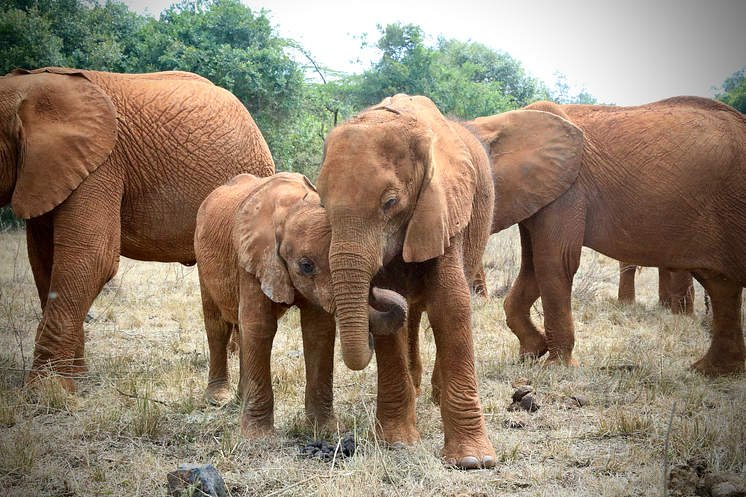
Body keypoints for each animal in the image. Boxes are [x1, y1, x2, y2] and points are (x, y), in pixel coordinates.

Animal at [0, 67, 275, 390]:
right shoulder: (47, 172)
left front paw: (45, 390)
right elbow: (44, 261)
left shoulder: (100, 166)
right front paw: (74, 380)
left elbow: (92, 258)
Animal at [194, 172, 408, 437]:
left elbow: (318, 331)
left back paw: (240, 399)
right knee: (217, 325)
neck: (292, 206)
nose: (377, 289)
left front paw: (326, 430)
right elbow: (259, 326)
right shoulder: (252, 259)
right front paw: (257, 438)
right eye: (306, 266)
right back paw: (217, 399)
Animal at [316, 94, 497, 469]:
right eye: (322, 204)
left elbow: (451, 306)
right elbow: (393, 327)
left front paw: (474, 461)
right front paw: (396, 443)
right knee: (410, 313)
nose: (373, 290)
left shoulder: (446, 210)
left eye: (390, 202)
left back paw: (435, 396)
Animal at [466, 96, 746, 375]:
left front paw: (556, 366)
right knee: (721, 284)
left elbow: (554, 263)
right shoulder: (540, 196)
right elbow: (533, 267)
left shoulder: (568, 193)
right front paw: (531, 353)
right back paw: (710, 370)